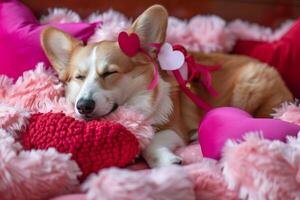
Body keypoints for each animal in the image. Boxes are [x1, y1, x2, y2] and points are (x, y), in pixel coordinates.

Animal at [40, 4, 292, 167]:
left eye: (110, 72)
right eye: (79, 77)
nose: (83, 106)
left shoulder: (172, 127)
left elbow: (150, 143)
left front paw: (165, 160)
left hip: (247, 87)